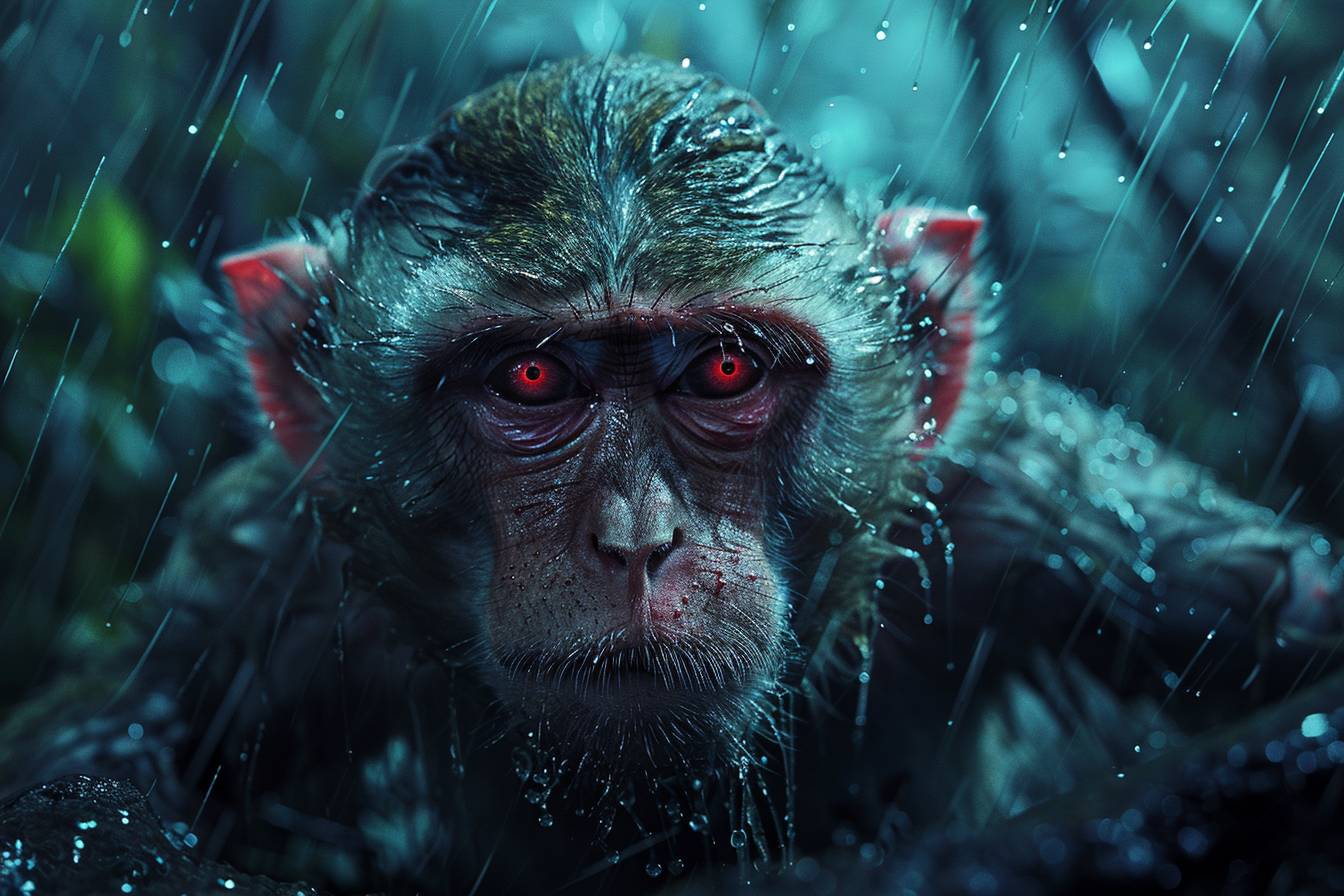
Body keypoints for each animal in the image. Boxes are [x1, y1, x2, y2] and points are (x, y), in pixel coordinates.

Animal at [2, 54, 1341, 895]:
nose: (638, 541)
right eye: (531, 377)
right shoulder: (280, 575)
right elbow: (77, 781)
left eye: (724, 366)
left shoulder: (1036, 506)